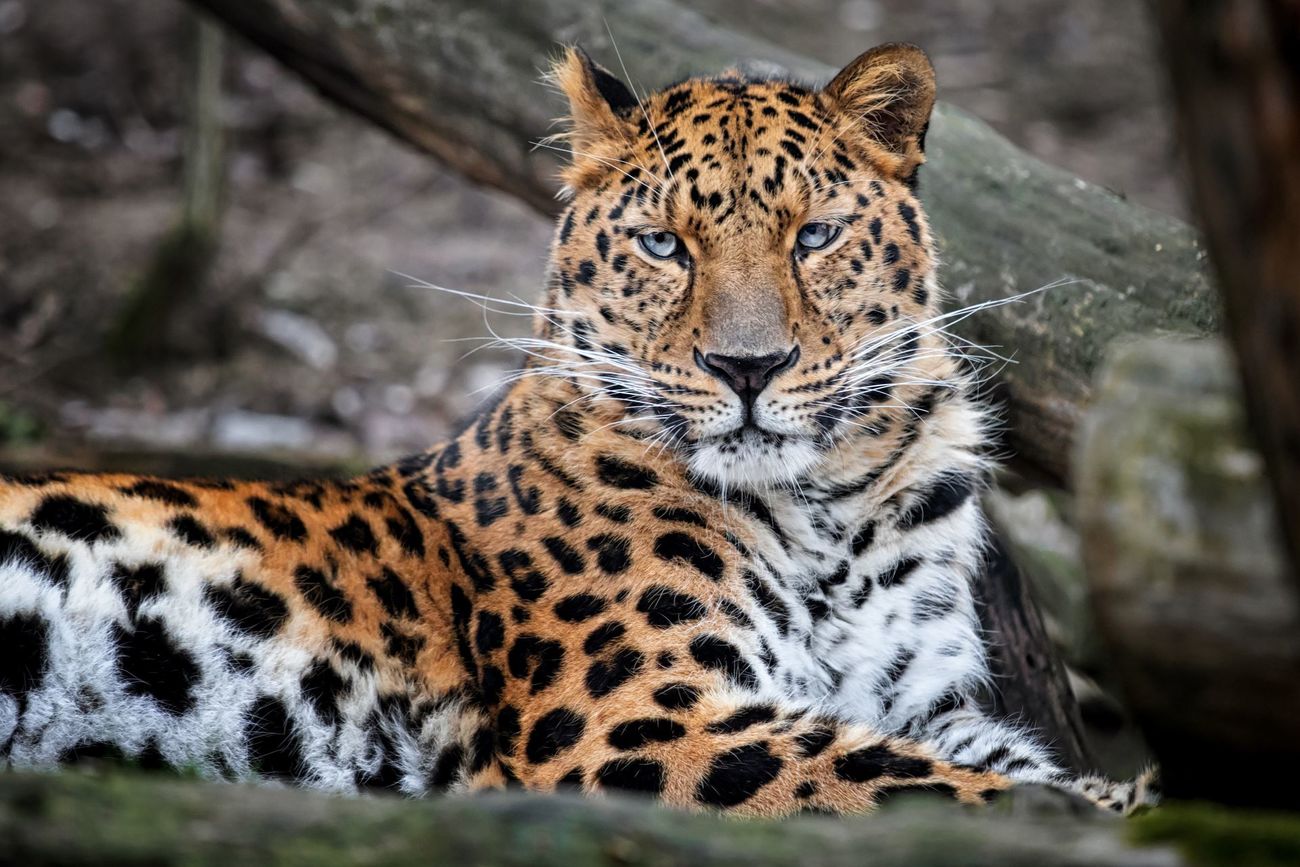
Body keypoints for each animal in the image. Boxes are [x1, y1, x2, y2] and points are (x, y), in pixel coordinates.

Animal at [0, 42, 1159, 821]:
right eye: (663, 245)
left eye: (815, 235)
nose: (747, 368)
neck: (829, 509)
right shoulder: (639, 720)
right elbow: (937, 787)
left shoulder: (922, 700)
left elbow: (1001, 768)